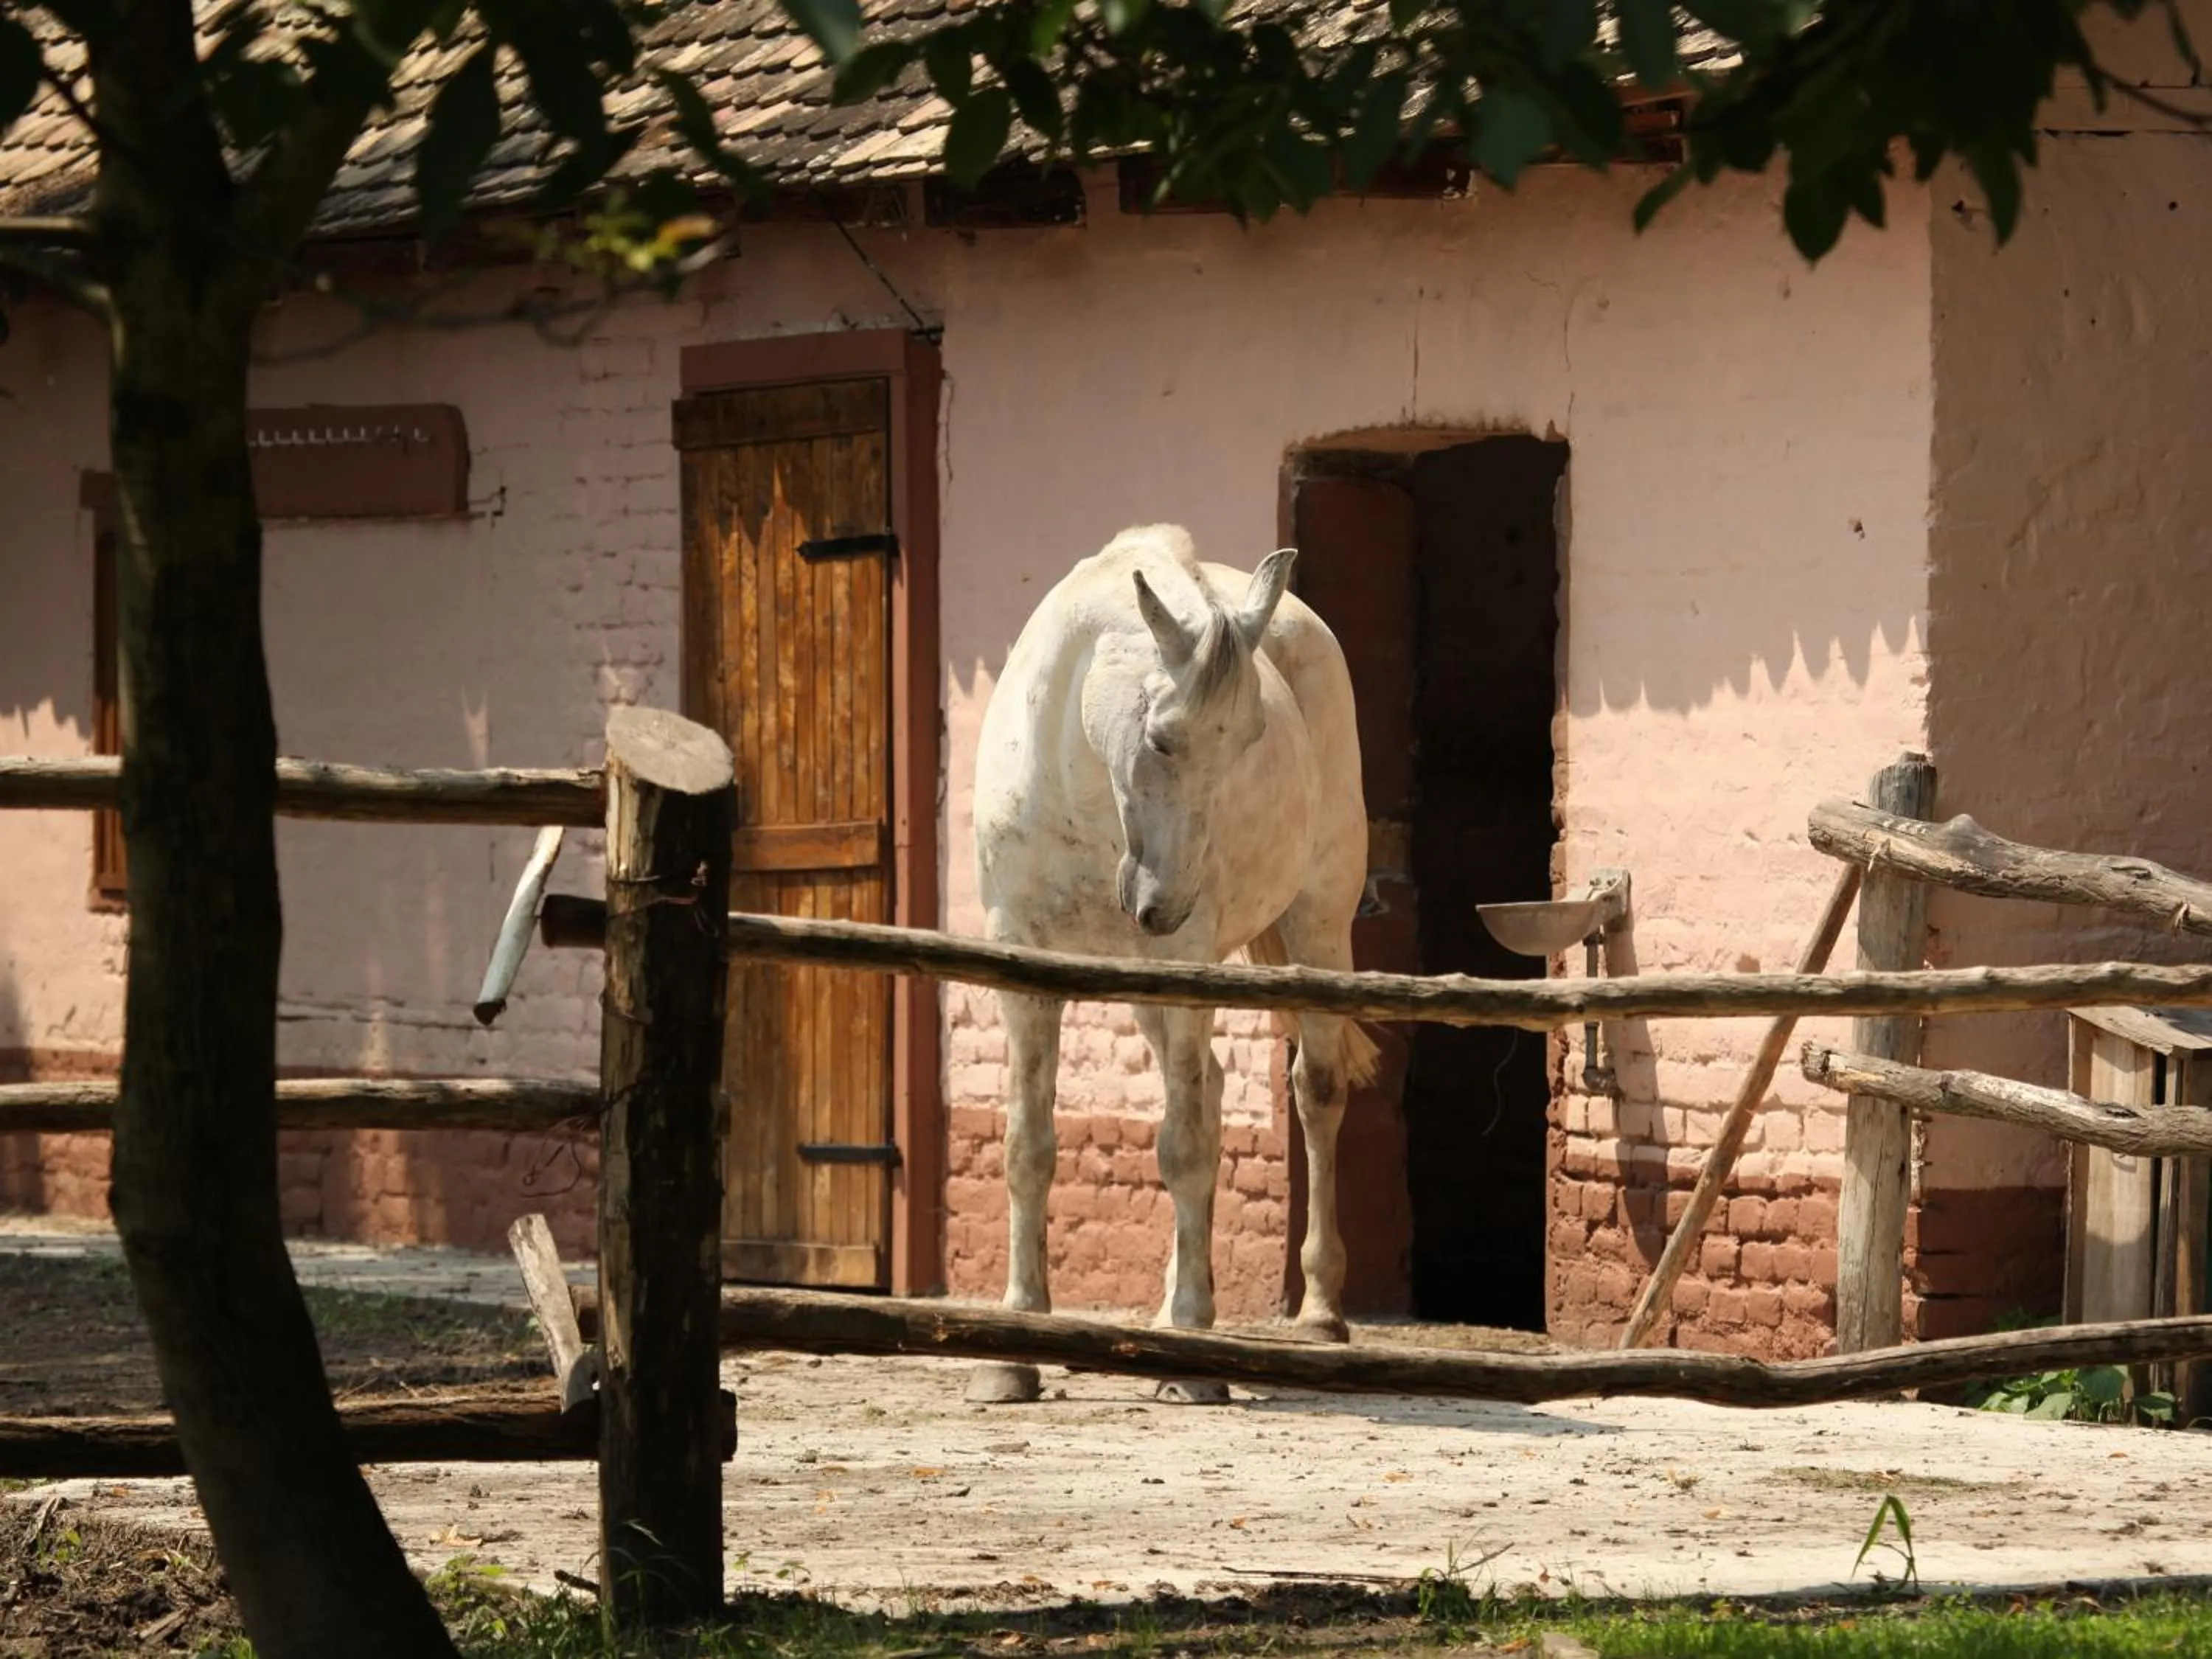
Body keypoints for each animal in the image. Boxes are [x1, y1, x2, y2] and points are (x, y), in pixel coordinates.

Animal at [969, 523, 1379, 1403]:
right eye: (1160, 738)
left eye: (1252, 739)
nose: (1166, 905)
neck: (1082, 787)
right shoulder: (1025, 969)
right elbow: (1027, 1150)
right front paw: (1013, 1351)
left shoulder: (1186, 964)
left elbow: (1185, 1149)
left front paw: (1193, 1348)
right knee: (1217, 1089)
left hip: (1317, 926)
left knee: (1315, 1093)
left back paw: (1318, 1313)